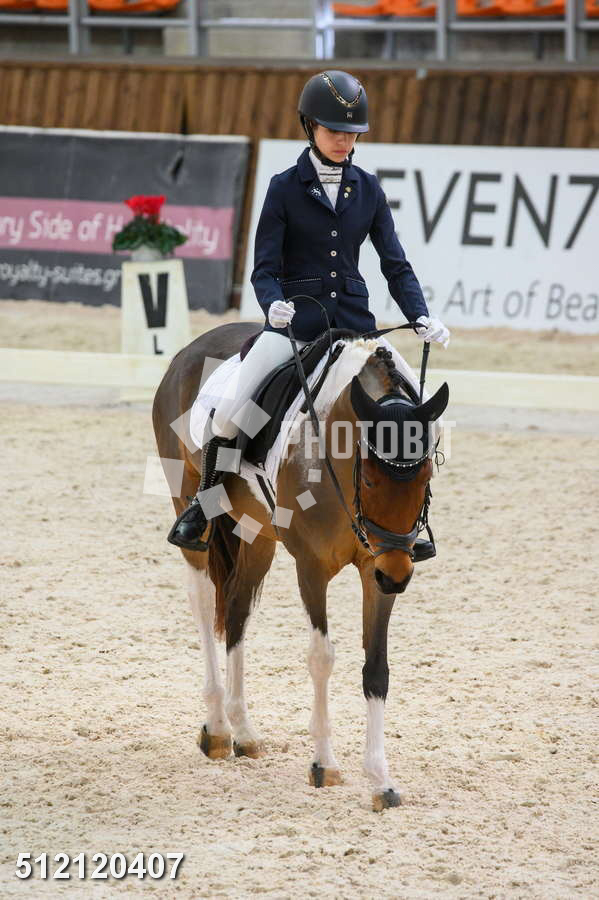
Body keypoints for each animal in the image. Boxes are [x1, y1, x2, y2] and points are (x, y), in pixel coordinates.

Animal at [152, 322, 448, 811]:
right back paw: (217, 729)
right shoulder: (311, 567)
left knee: (236, 609)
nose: (398, 576)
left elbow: (377, 667)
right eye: (369, 479)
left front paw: (381, 781)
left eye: (425, 475)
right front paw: (324, 764)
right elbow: (321, 658)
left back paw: (244, 732)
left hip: (256, 534)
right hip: (189, 500)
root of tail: (190, 348)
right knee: (203, 602)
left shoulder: (374, 568)